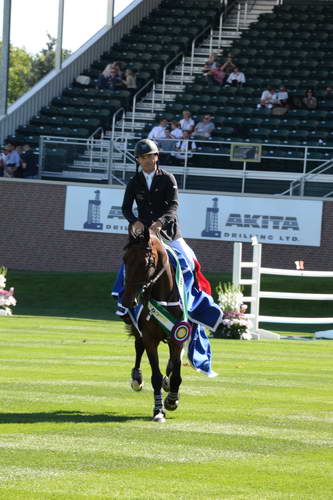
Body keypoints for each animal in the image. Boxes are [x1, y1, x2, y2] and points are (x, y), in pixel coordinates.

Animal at [122, 226, 185, 422]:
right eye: (125, 259)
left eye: (145, 262)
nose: (127, 300)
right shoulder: (150, 338)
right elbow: (155, 376)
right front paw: (158, 410)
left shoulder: (179, 335)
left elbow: (176, 371)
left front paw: (172, 399)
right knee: (138, 346)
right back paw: (137, 378)